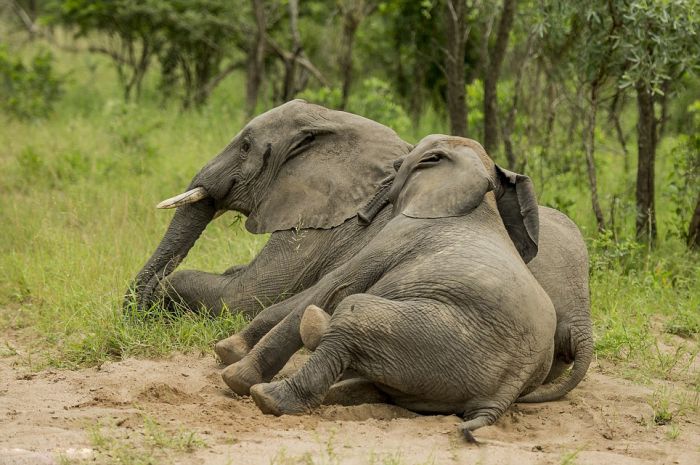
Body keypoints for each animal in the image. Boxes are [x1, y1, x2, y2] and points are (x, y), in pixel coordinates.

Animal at [241, 135, 556, 438]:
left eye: (400, 164)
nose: (362, 216)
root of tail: (501, 398)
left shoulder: (401, 233)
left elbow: (336, 284)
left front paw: (237, 374)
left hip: (438, 337)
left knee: (353, 313)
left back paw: (267, 396)